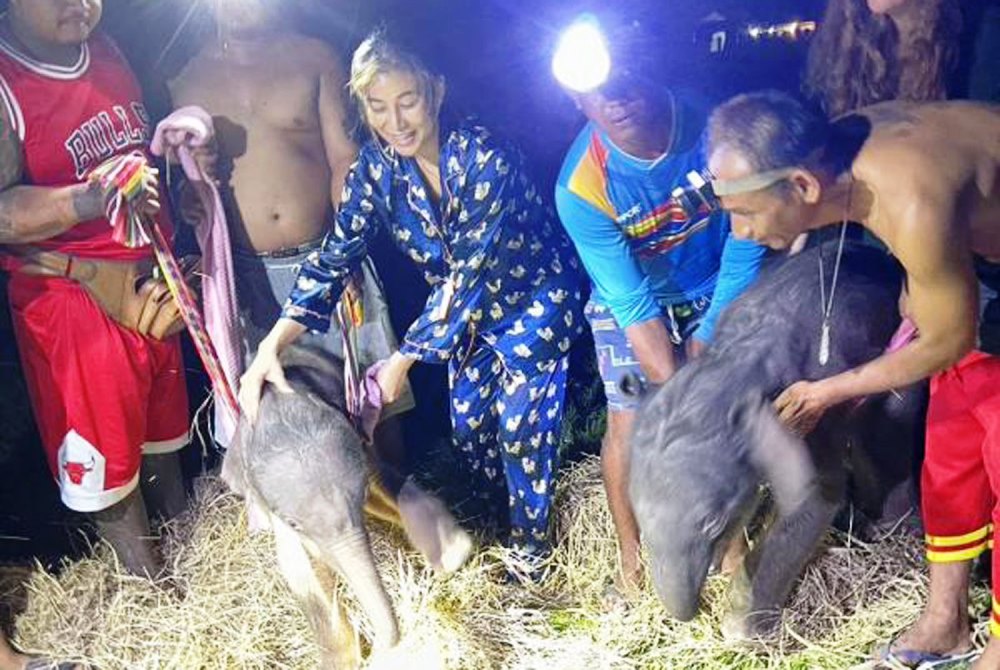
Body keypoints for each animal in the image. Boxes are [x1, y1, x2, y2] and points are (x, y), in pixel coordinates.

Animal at [225, 344, 474, 668]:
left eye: (361, 491)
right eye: (294, 523)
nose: (381, 648)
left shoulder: (358, 435)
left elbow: (384, 480)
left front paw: (452, 552)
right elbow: (302, 570)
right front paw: (341, 661)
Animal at [628, 242, 924, 640]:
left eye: (712, 523)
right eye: (641, 518)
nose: (692, 613)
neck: (735, 360)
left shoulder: (813, 409)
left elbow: (815, 496)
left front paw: (740, 626)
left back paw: (887, 525)